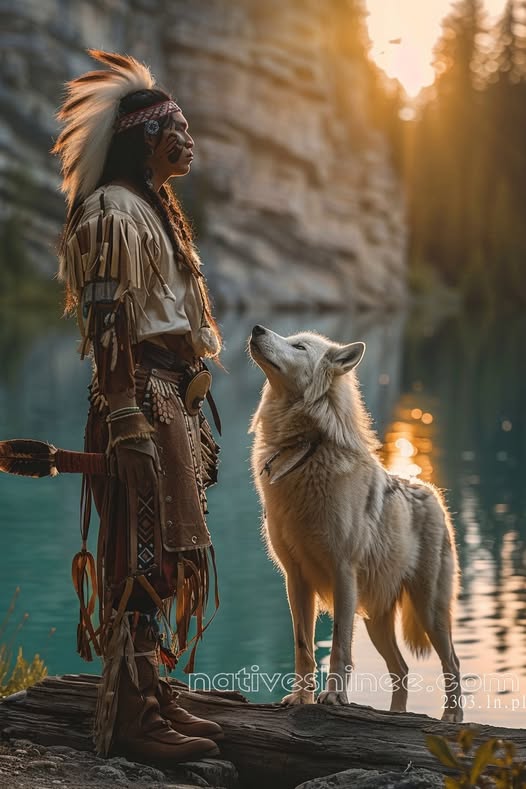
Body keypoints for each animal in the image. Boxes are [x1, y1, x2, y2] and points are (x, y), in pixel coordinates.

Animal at [248, 324, 462, 722]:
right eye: (289, 337)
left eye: (299, 346)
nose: (256, 329)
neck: (307, 450)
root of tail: (432, 493)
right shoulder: (295, 580)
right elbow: (303, 647)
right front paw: (300, 698)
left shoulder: (342, 572)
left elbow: (338, 648)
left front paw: (334, 697)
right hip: (377, 620)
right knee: (402, 669)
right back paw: (396, 716)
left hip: (429, 611)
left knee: (452, 663)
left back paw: (452, 719)